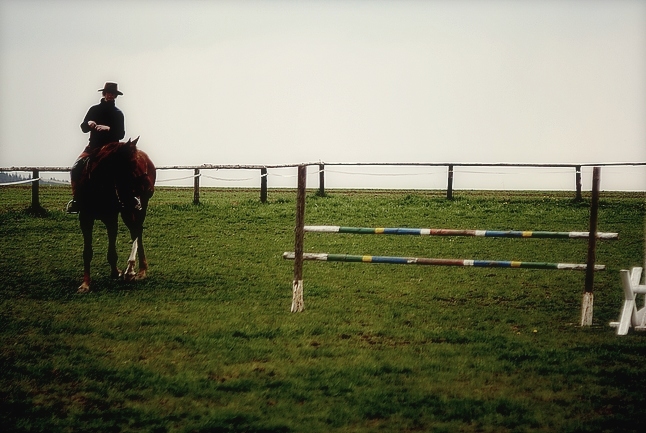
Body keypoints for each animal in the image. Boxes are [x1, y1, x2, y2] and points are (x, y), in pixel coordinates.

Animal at [74, 138, 156, 294]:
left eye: (138, 162)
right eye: (131, 163)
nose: (148, 187)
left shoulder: (112, 217)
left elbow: (112, 250)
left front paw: (118, 272)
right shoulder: (86, 218)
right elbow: (88, 251)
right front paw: (86, 283)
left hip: (135, 208)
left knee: (137, 231)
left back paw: (136, 270)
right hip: (128, 209)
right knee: (136, 231)